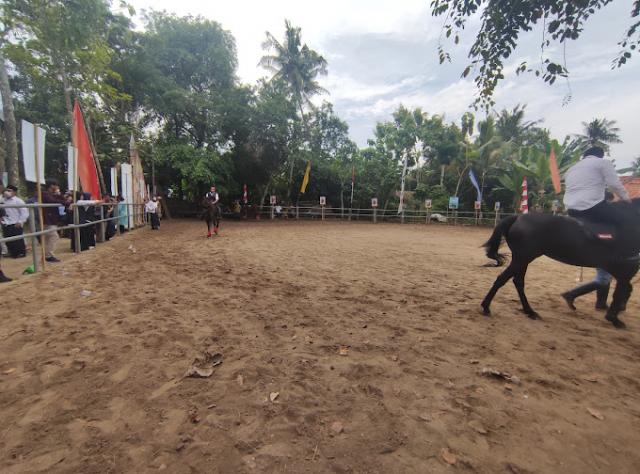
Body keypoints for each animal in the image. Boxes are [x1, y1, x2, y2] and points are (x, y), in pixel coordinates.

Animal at [481, 199, 640, 329]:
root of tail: (518, 217)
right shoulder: (625, 273)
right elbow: (622, 292)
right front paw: (614, 319)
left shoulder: (620, 272)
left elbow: (624, 291)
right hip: (522, 258)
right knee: (502, 279)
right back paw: (486, 307)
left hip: (522, 259)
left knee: (517, 282)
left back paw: (530, 312)